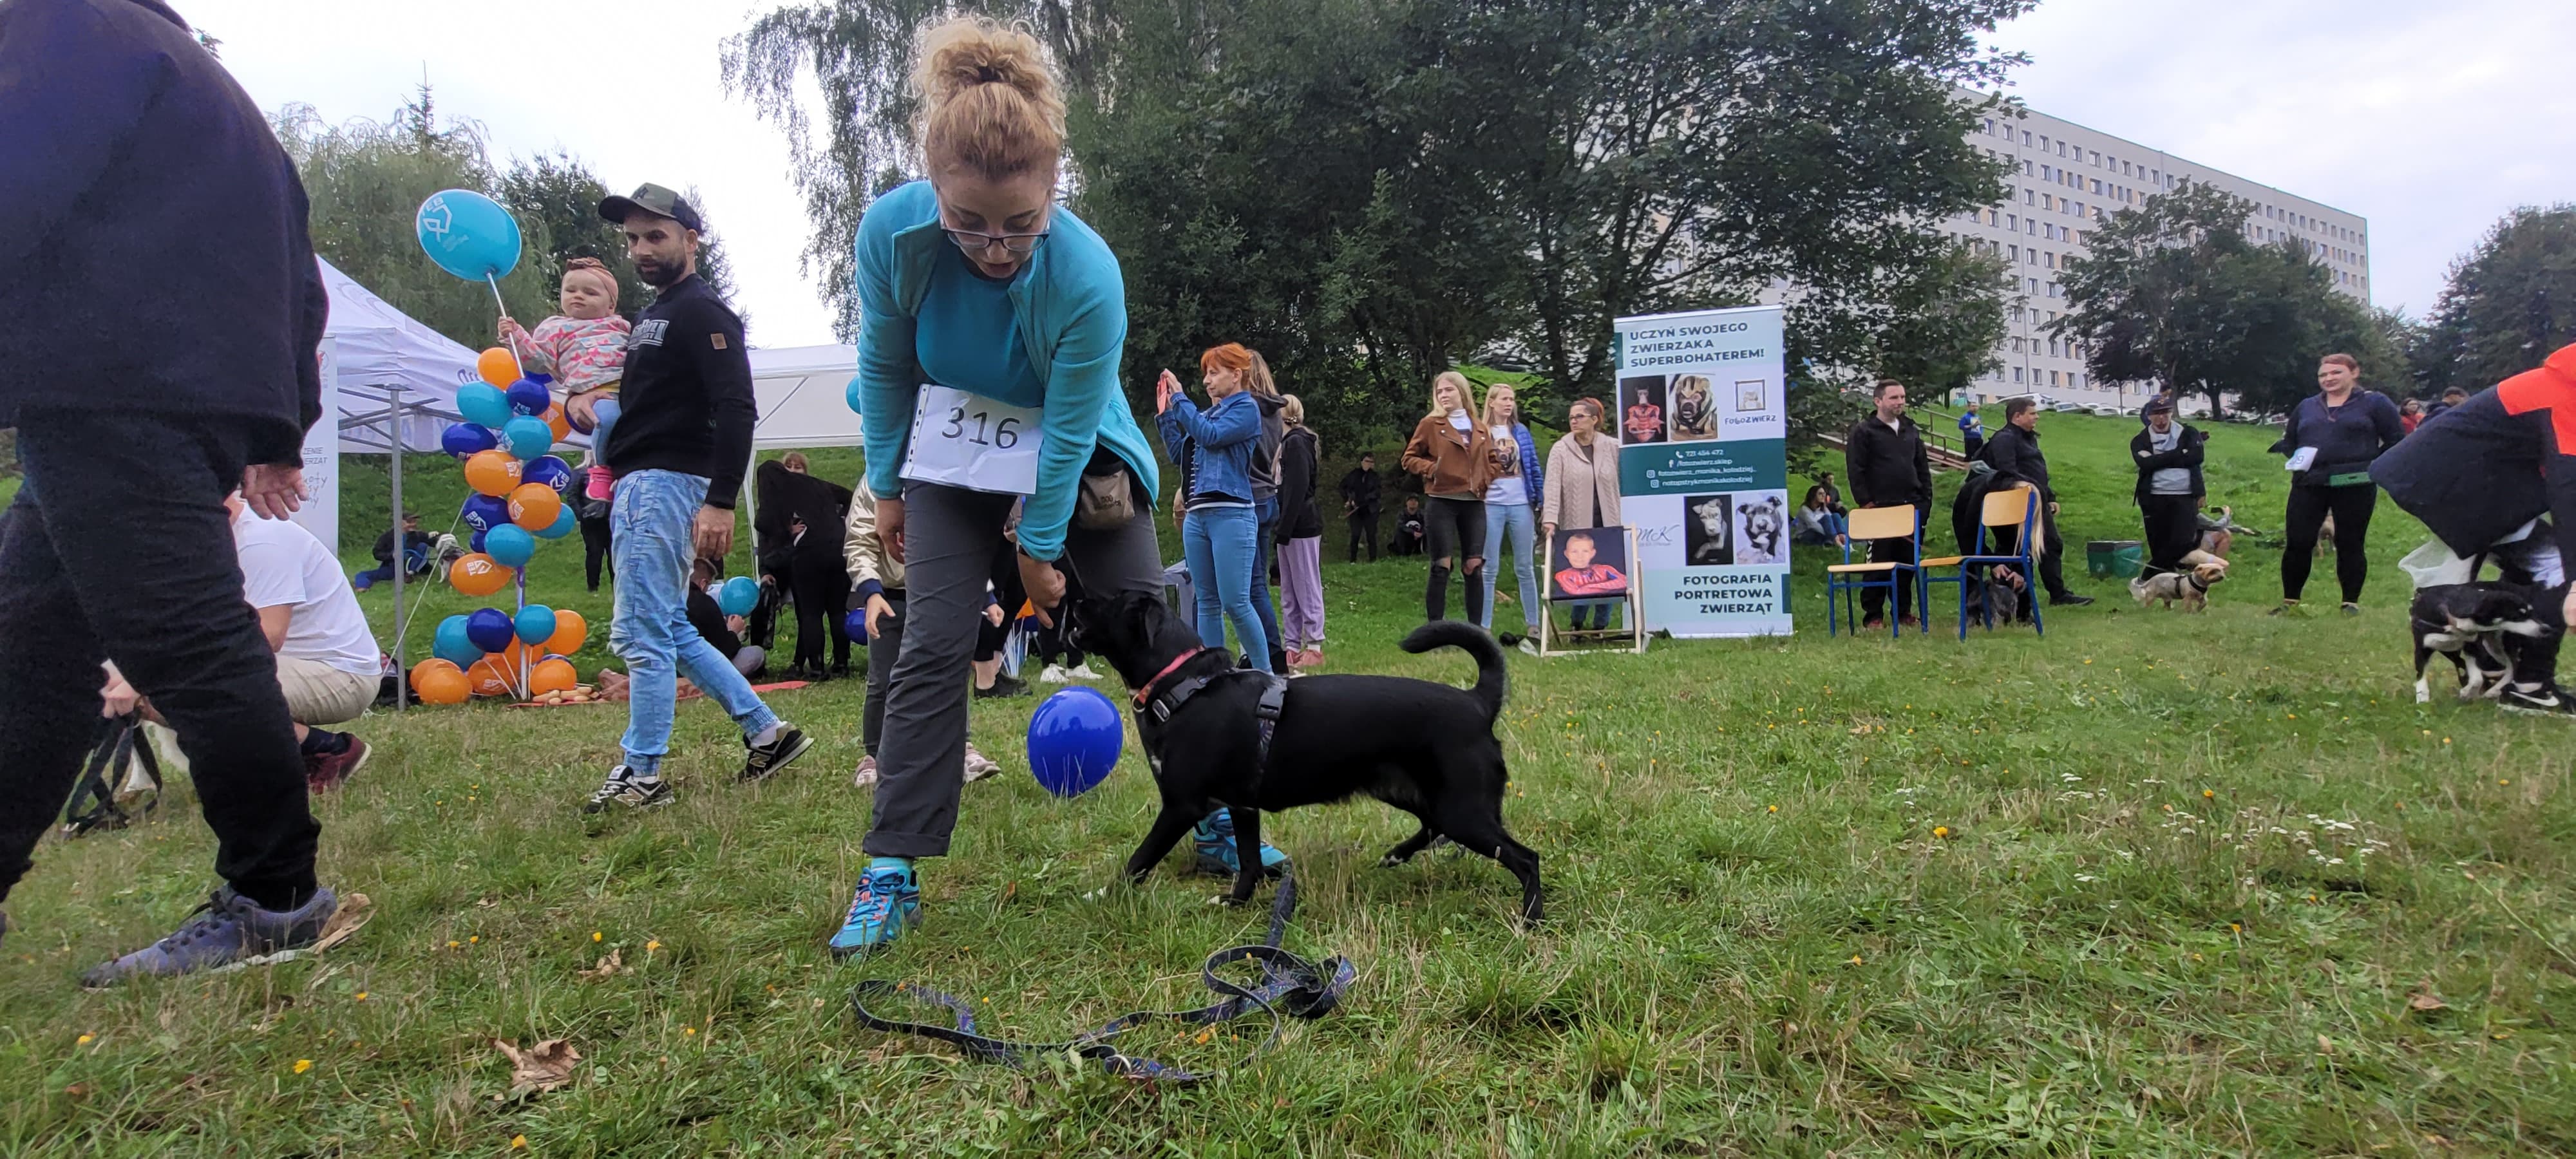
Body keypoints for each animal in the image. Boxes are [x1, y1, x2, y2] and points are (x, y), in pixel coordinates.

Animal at [1056, 590, 1535, 922]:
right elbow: (1249, 863)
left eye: (1112, 602)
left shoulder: (1181, 807)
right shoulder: (1242, 806)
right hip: (1409, 791)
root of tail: (1477, 702)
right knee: (1434, 828)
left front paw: (1102, 896)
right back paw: (1397, 855)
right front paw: (1236, 903)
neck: (1186, 686)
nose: (1073, 600)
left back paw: (1530, 919)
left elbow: (1138, 861)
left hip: (1462, 809)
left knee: (1525, 858)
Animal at [2133, 554, 2236, 610]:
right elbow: (2188, 606)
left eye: (2220, 571)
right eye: (2213, 571)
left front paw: (2198, 610)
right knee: (2148, 604)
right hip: (2152, 596)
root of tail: (2149, 581)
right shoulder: (2188, 597)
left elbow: (2204, 603)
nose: (2221, 577)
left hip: (2167, 597)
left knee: (2166, 605)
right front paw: (2190, 613)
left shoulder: (2201, 597)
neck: (2199, 583)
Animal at [2401, 585, 2545, 701]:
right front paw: (2423, 700)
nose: (2547, 629)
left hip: (2498, 645)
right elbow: (2421, 677)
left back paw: (2493, 691)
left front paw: (2468, 693)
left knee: (2511, 668)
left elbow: (2477, 679)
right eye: (2517, 616)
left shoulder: (2473, 647)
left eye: (2531, 612)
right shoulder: (2423, 648)